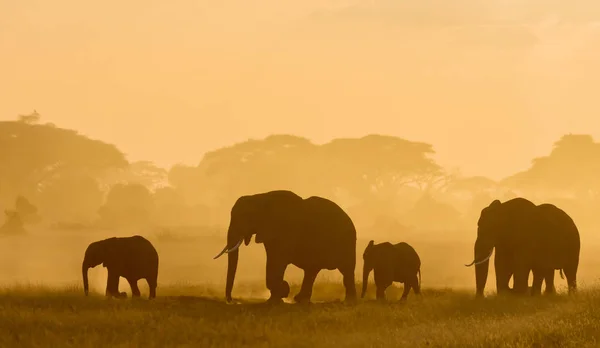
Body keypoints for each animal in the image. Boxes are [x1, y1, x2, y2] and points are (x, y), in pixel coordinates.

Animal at [214, 190, 358, 304]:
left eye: (245, 216)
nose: (231, 300)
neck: (260, 197)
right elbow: (272, 260)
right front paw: (278, 295)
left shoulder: (285, 230)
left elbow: (278, 261)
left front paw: (281, 292)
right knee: (312, 270)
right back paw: (300, 300)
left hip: (347, 242)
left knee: (346, 270)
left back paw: (349, 301)